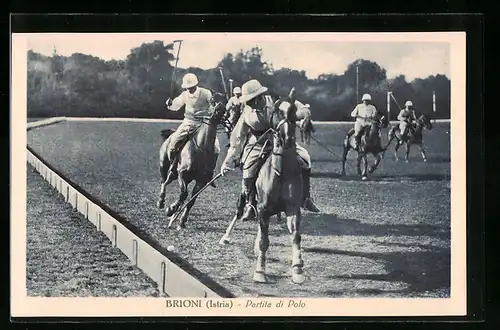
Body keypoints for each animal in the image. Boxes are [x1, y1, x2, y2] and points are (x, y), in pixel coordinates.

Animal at [157, 91, 228, 231]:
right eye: (213, 100)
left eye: (225, 100)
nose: (220, 108)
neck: (202, 148)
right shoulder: (182, 174)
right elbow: (184, 194)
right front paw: (171, 209)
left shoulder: (201, 181)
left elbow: (191, 200)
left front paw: (181, 221)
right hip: (166, 167)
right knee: (164, 181)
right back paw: (161, 202)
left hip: (176, 175)